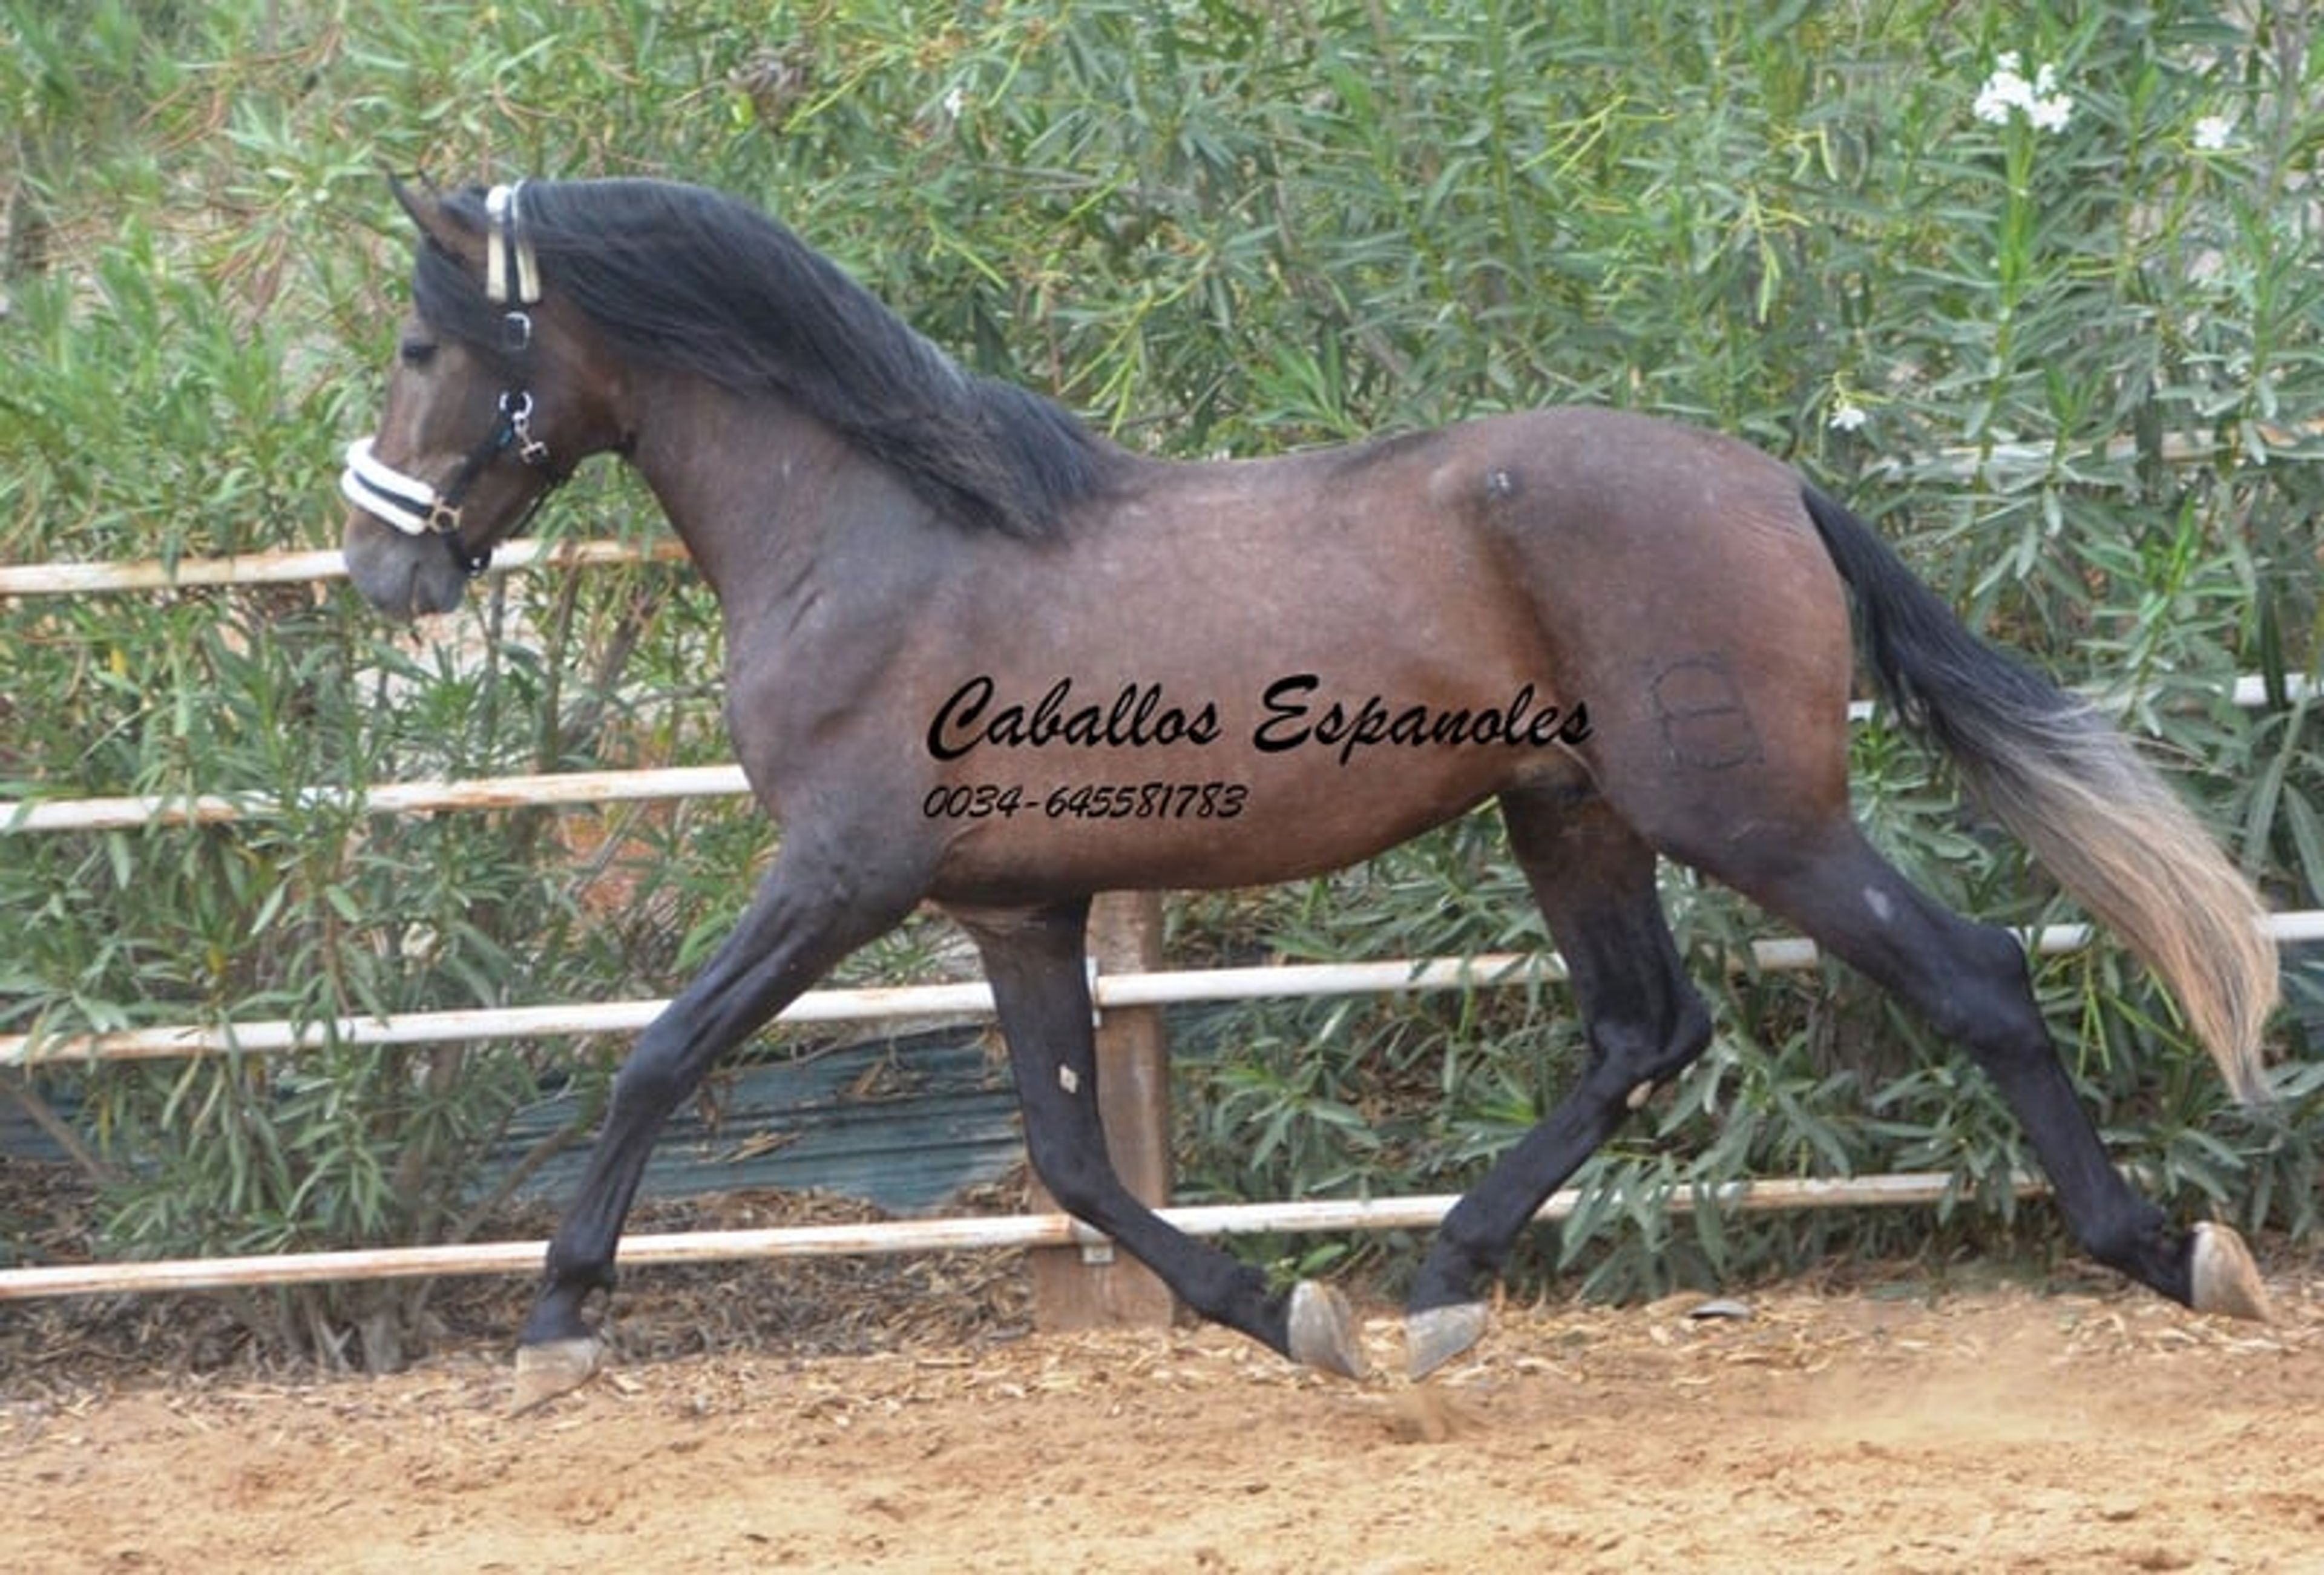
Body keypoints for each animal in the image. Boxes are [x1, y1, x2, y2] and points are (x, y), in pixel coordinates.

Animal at [339, 176, 2279, 1409]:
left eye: (426, 351)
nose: (381, 567)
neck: (877, 535)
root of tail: (1770, 484)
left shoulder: (840, 873)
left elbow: (660, 1053)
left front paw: (558, 1326)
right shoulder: (1014, 906)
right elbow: (1072, 1159)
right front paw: (1291, 1315)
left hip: (1750, 818)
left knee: (1973, 977)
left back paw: (2173, 1251)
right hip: (1568, 815)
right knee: (1643, 1030)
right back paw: (1432, 1297)